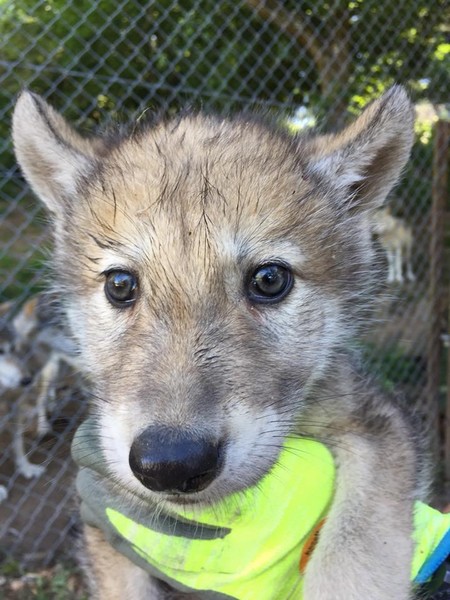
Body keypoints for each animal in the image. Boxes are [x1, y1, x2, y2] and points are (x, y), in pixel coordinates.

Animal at [11, 87, 441, 599]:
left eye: (270, 279)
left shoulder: (378, 420)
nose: (171, 463)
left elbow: (358, 549)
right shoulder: (102, 515)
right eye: (120, 285)